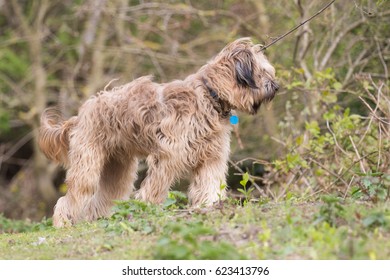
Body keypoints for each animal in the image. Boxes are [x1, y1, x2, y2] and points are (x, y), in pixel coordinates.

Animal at [38, 37, 278, 226]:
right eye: (263, 72)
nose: (276, 87)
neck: (210, 95)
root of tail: (80, 116)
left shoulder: (212, 158)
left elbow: (210, 183)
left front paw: (210, 206)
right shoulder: (168, 157)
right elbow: (155, 188)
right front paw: (147, 209)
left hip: (117, 168)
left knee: (104, 196)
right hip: (88, 165)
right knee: (70, 197)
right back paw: (63, 223)